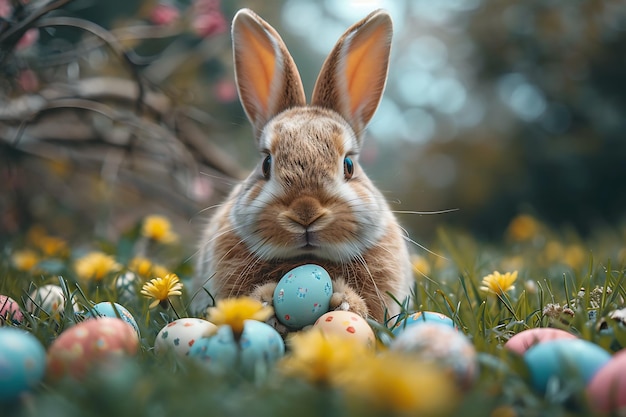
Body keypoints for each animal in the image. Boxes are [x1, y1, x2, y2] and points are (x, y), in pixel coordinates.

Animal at [193, 7, 412, 324]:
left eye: (348, 165)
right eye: (266, 163)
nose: (305, 212)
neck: (307, 260)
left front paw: (344, 305)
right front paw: (265, 304)